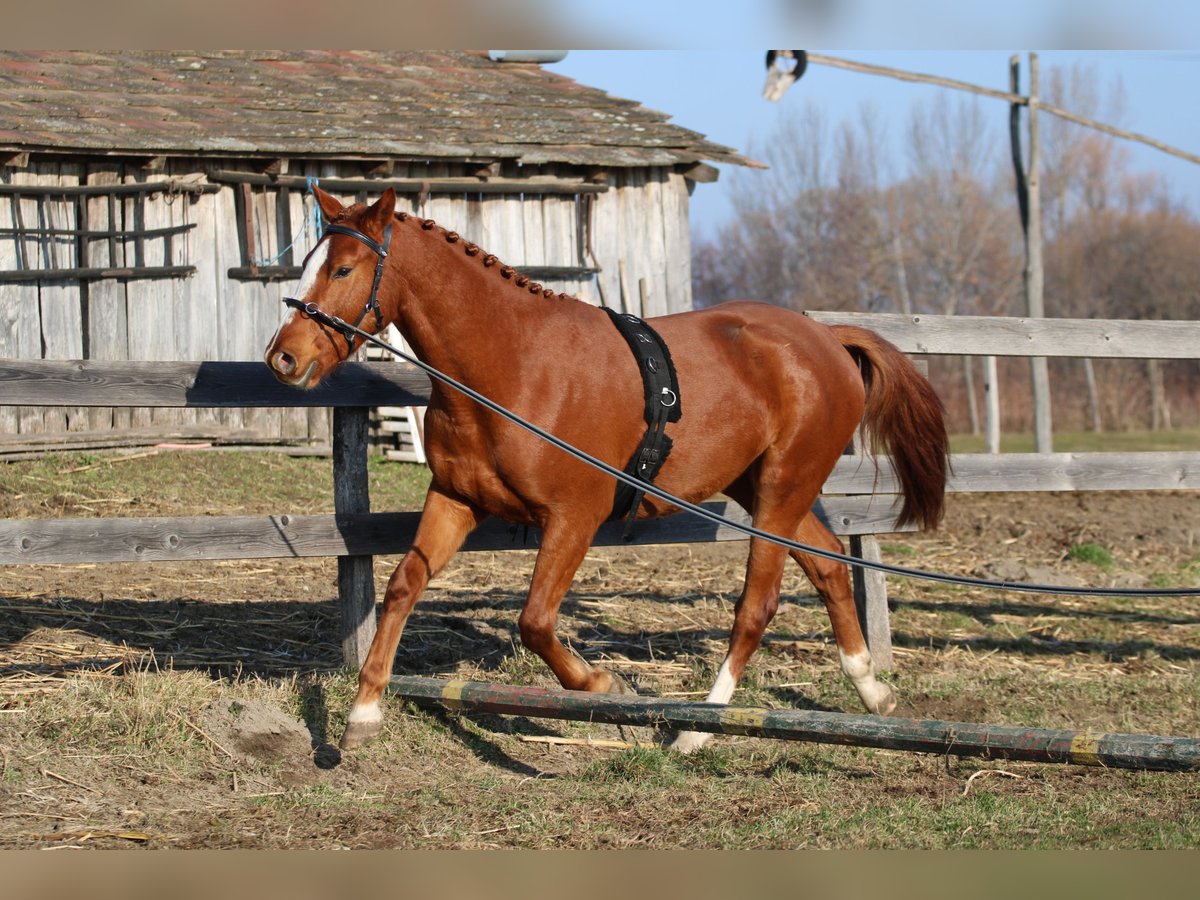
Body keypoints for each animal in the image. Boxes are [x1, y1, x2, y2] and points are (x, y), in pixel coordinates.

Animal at [262, 188, 945, 753]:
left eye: (343, 268)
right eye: (305, 265)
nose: (282, 358)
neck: (510, 367)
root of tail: (827, 339)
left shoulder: (575, 517)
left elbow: (536, 621)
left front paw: (603, 684)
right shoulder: (454, 499)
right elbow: (404, 585)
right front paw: (363, 713)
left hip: (783, 489)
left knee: (758, 604)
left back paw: (698, 730)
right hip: (768, 493)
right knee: (829, 568)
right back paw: (873, 692)